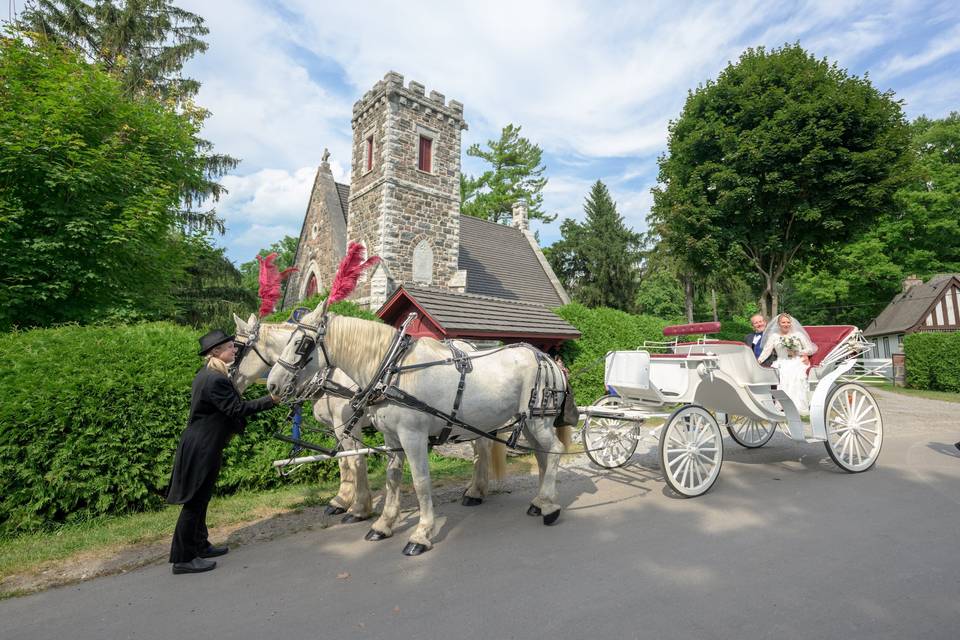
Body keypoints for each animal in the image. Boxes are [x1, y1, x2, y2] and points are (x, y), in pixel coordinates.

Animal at [230, 314, 506, 520]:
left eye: (238, 349)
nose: (230, 378)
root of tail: (470, 347)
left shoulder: (347, 426)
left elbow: (354, 461)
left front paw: (359, 508)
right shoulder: (336, 428)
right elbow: (342, 463)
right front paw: (341, 500)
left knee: (481, 446)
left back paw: (475, 491)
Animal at [264, 310, 568, 556]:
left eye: (302, 344)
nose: (272, 385)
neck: (391, 370)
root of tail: (547, 359)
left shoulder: (413, 437)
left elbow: (421, 482)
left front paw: (421, 535)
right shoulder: (392, 439)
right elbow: (392, 479)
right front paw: (383, 525)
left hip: (538, 420)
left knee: (554, 451)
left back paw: (549, 507)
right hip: (526, 423)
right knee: (541, 456)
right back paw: (540, 501)